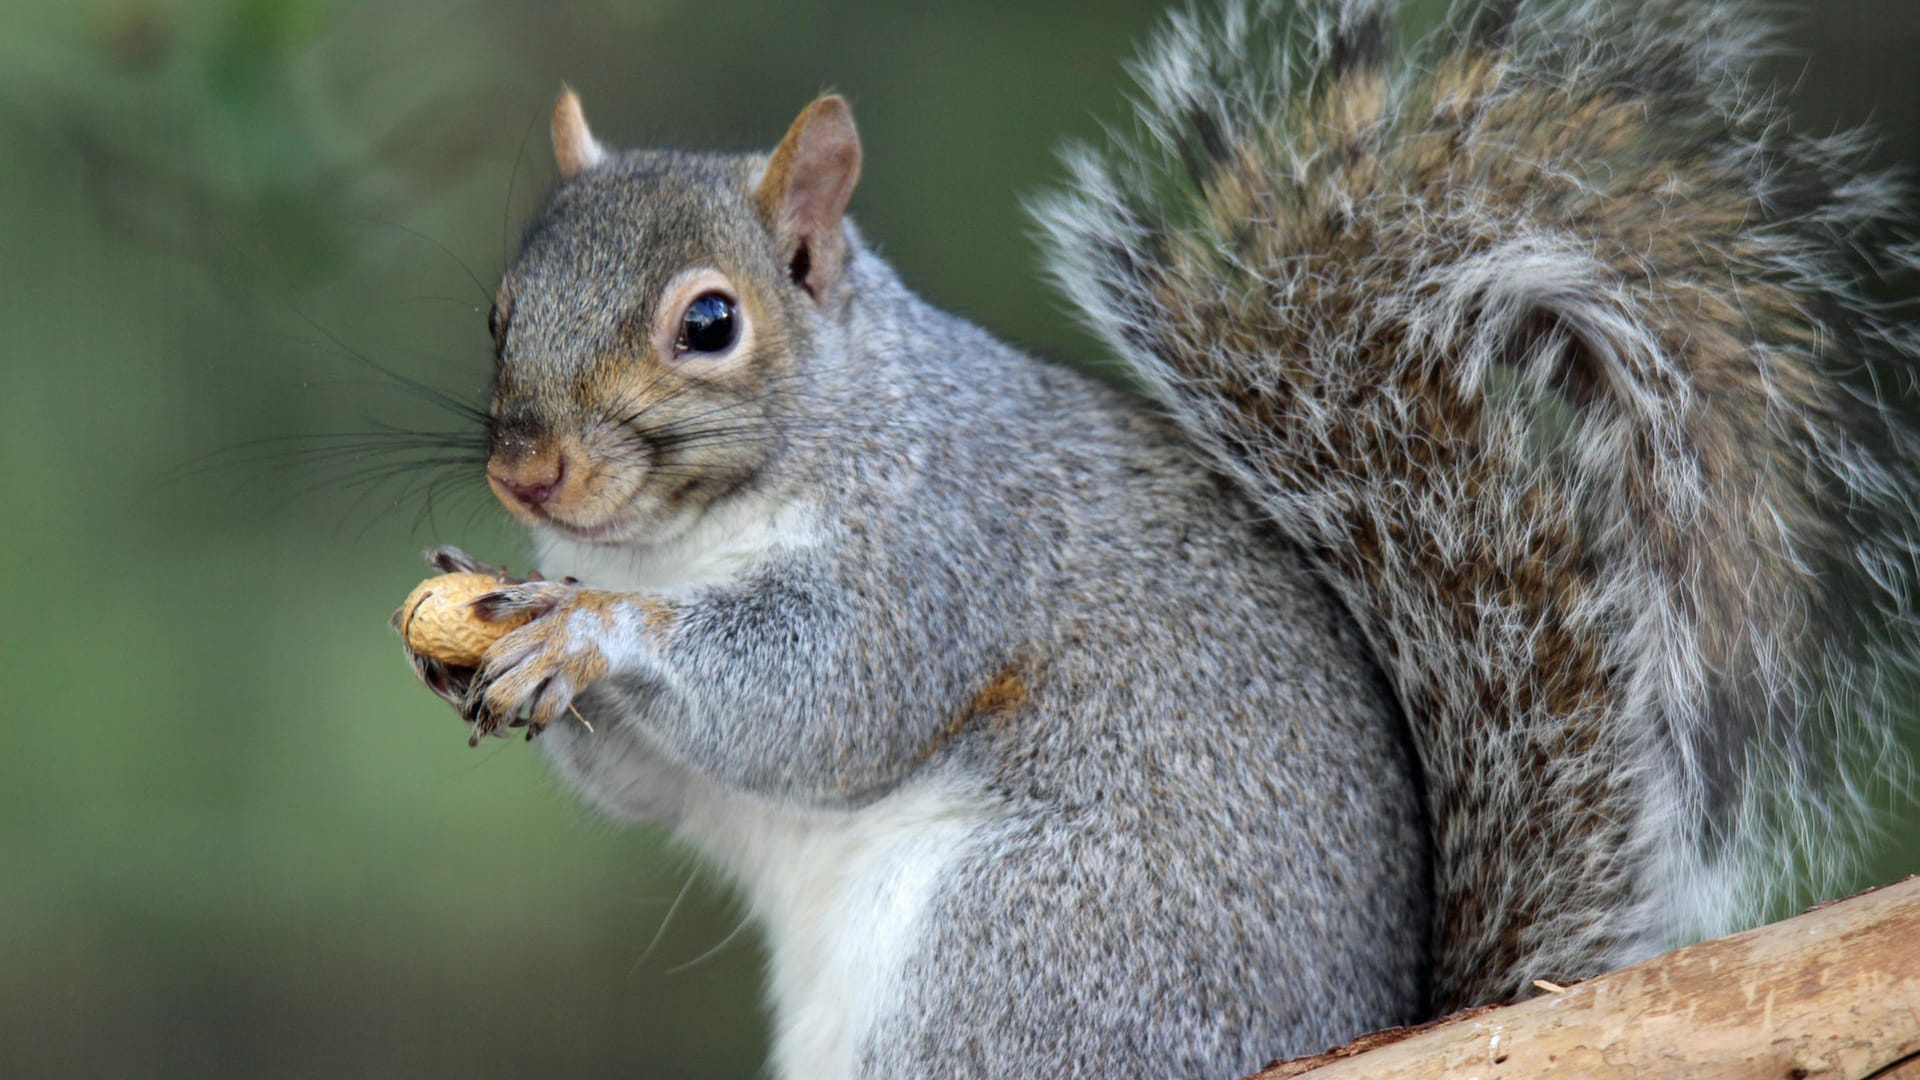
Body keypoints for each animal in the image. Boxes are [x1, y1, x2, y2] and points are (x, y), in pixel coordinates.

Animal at [393, 2, 1920, 1068]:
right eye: (497, 310)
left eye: (709, 322)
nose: (527, 471)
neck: (678, 536)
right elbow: (654, 787)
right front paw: (490, 631)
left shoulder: (945, 547)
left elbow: (834, 700)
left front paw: (597, 636)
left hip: (1023, 955)